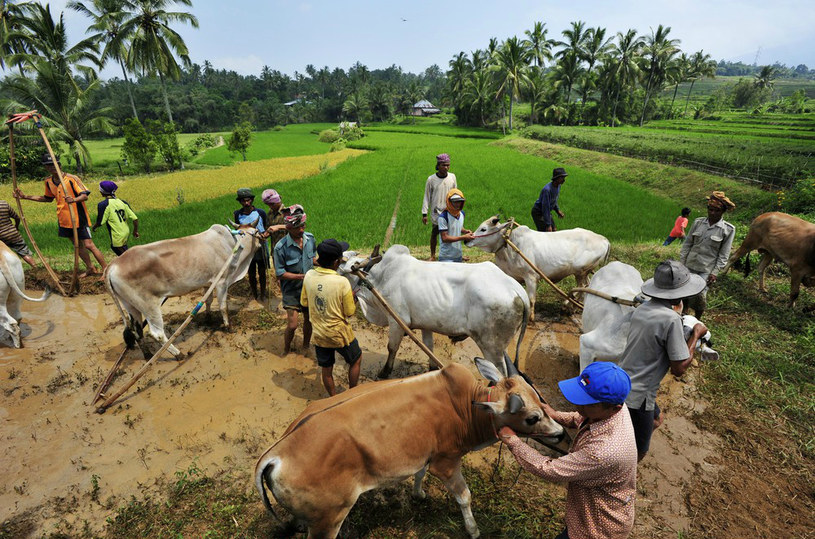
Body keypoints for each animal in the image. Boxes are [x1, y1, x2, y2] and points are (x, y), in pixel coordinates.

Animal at [103, 224, 262, 358]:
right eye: (257, 231)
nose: (263, 238)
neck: (232, 243)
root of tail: (113, 264)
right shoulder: (222, 281)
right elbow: (223, 307)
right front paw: (228, 327)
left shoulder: (208, 283)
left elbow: (208, 301)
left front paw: (208, 319)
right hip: (149, 306)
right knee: (157, 333)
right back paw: (178, 354)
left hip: (130, 306)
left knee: (137, 332)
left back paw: (148, 355)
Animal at [255, 356, 568, 536]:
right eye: (532, 417)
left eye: (539, 397)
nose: (561, 432)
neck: (467, 407)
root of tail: (274, 456)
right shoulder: (446, 461)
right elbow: (464, 497)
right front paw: (473, 530)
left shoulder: (425, 453)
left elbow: (419, 474)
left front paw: (419, 495)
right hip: (329, 519)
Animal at [336, 246, 528, 378]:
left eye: (340, 271)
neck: (379, 276)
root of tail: (517, 288)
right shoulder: (425, 324)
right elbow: (429, 347)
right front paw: (433, 370)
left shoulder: (396, 320)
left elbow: (392, 347)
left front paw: (384, 372)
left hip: (490, 346)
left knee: (501, 373)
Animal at [466, 216, 612, 320]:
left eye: (483, 229)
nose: (467, 239)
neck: (508, 244)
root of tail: (604, 239)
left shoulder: (531, 276)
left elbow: (531, 298)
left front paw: (531, 317)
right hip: (583, 273)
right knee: (586, 286)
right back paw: (573, 306)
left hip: (580, 270)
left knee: (583, 287)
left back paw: (568, 306)